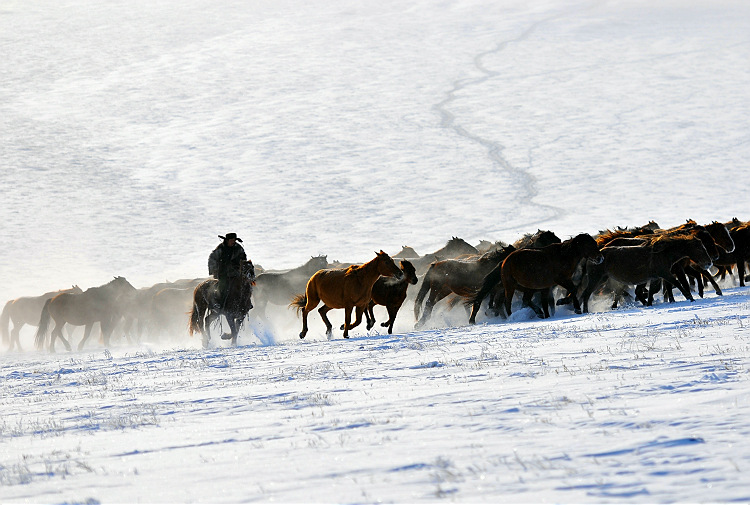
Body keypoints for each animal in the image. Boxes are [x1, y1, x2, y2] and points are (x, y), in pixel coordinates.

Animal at [584, 235, 712, 312]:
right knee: (586, 293)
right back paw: (585, 310)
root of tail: (597, 256)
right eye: (699, 248)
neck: (663, 254)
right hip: (597, 279)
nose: (709, 263)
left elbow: (651, 292)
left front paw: (649, 304)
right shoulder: (665, 274)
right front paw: (691, 298)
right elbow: (678, 284)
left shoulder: (655, 278)